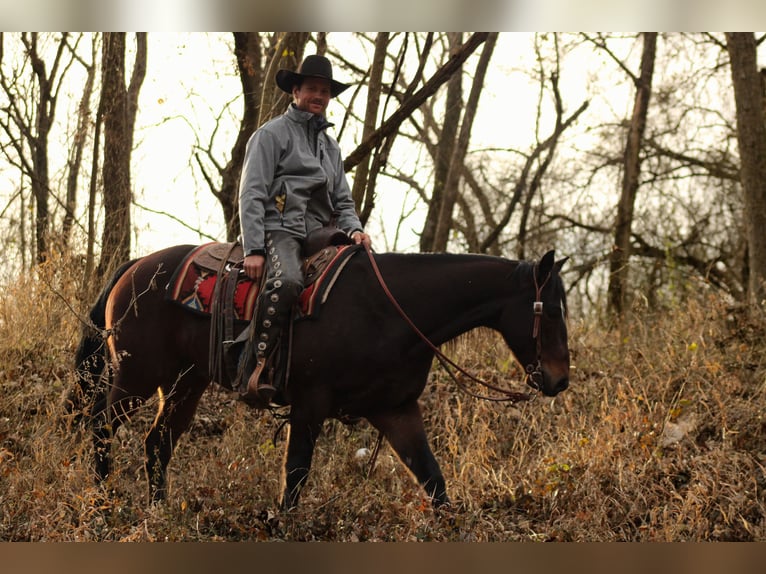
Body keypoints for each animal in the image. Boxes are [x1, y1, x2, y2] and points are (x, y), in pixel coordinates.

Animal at [71, 244, 570, 510]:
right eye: (550, 311)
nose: (560, 380)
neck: (391, 313)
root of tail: (134, 267)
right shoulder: (310, 404)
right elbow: (295, 475)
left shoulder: (396, 410)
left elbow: (433, 479)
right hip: (137, 376)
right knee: (101, 426)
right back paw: (101, 503)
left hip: (185, 383)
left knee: (157, 443)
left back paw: (158, 509)